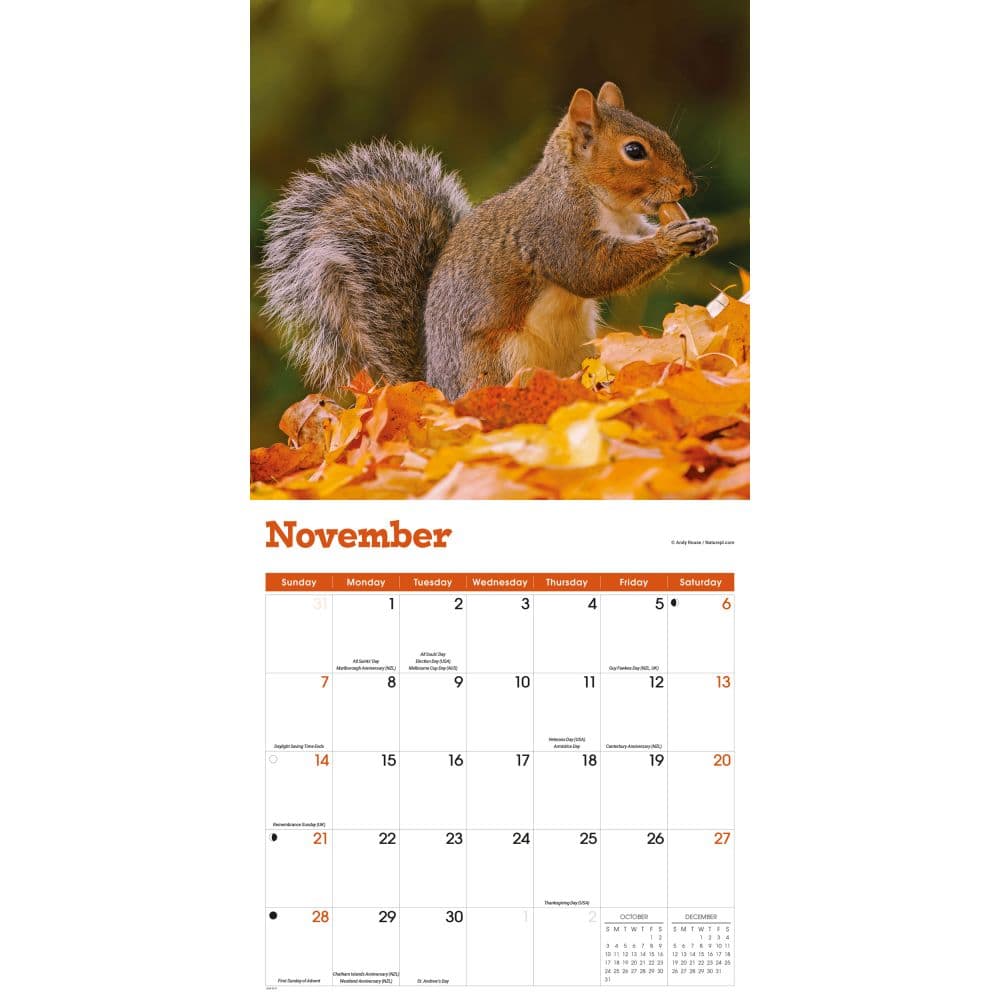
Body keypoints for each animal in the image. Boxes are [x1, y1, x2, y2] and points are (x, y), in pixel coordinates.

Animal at [260, 82, 718, 401]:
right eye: (634, 151)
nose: (688, 187)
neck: (598, 198)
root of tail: (438, 389)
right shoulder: (556, 229)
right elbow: (590, 271)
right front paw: (670, 240)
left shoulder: (629, 224)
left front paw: (701, 230)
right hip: (500, 363)